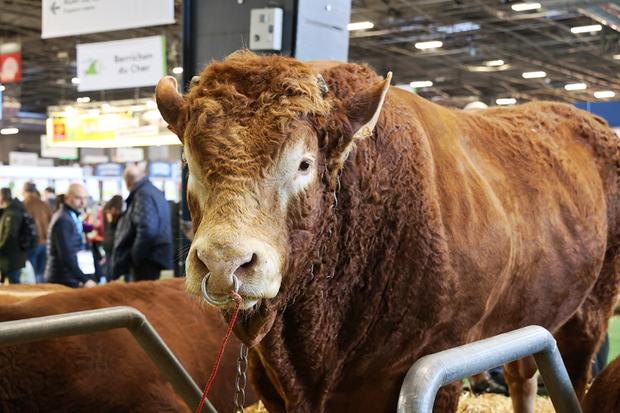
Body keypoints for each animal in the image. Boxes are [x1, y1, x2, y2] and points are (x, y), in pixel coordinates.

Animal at [155, 50, 620, 413]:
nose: (224, 261)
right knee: (523, 374)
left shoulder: (436, 365)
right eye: (189, 162)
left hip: (590, 312)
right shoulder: (271, 381)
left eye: (304, 163)